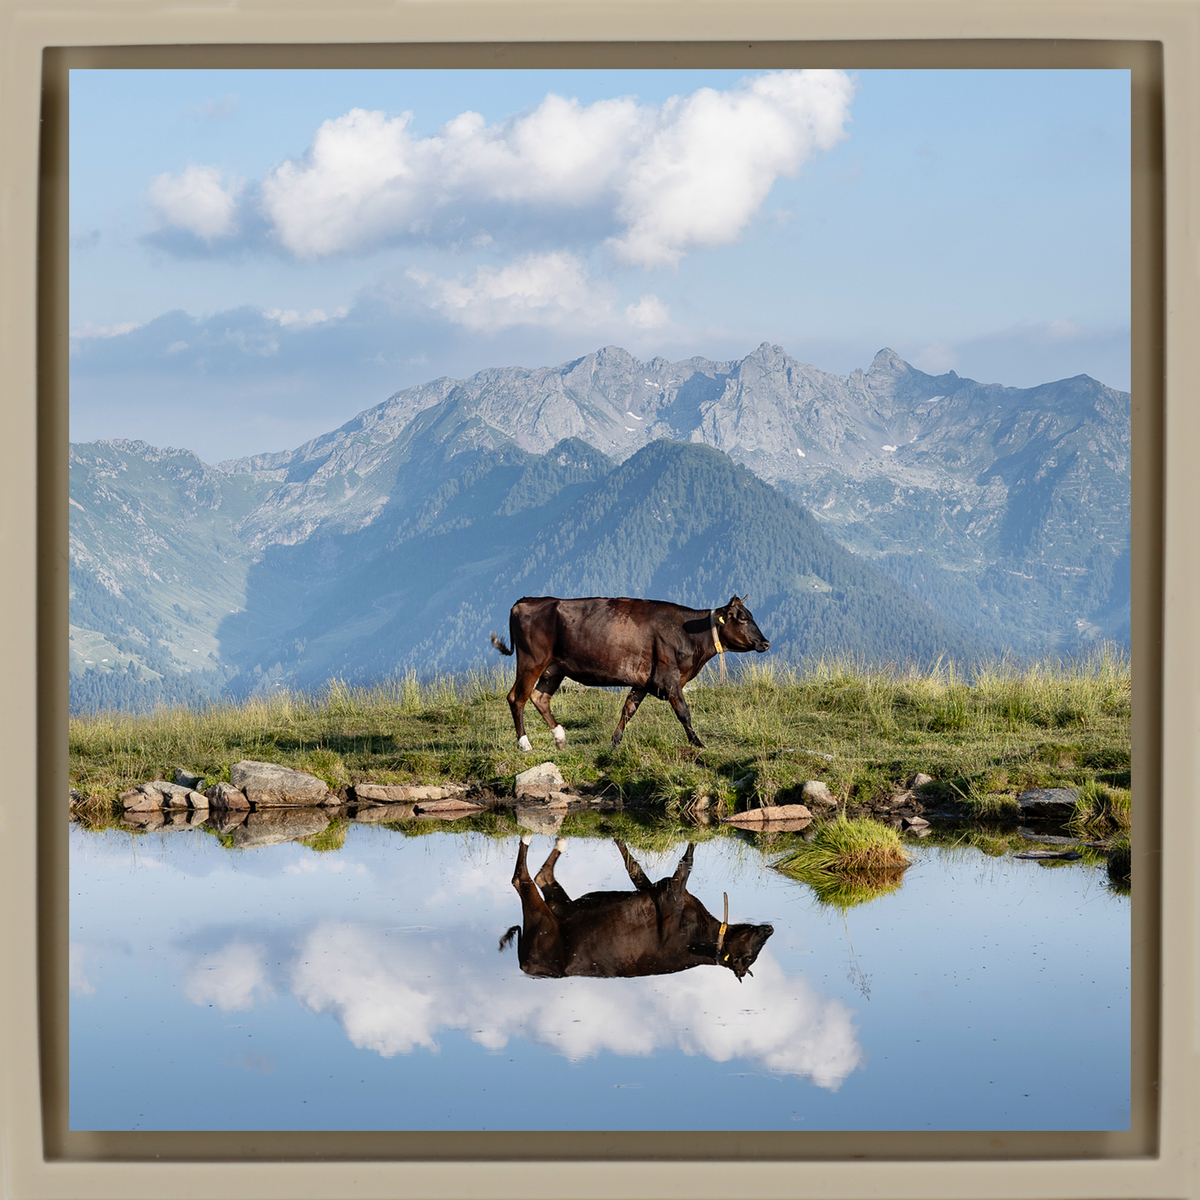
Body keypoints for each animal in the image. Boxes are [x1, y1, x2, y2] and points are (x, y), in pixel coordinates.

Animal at [489, 594, 769, 751]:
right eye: (742, 618)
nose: (765, 643)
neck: (687, 633)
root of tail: (526, 601)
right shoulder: (669, 678)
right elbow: (684, 712)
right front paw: (698, 743)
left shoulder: (644, 681)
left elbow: (628, 710)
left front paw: (614, 742)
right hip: (531, 661)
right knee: (517, 698)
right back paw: (525, 744)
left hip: (554, 669)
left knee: (540, 698)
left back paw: (559, 737)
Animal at [499, 836, 774, 982]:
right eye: (749, 956)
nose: (770, 928)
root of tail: (525, 965)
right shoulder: (667, 891)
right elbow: (652, 863)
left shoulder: (666, 891)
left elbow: (641, 866)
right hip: (546, 917)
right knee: (526, 877)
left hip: (551, 914)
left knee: (532, 877)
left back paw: (553, 840)